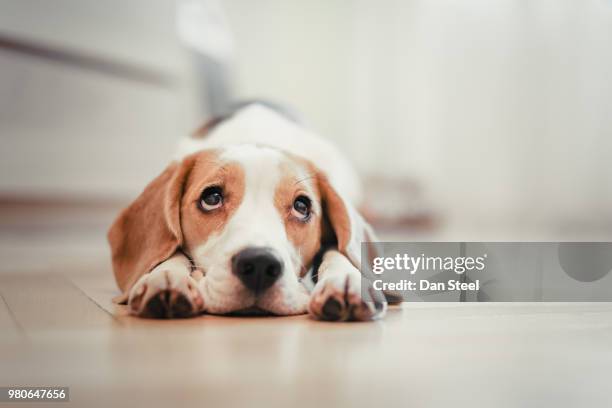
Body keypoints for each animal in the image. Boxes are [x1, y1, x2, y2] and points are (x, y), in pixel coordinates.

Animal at [109, 101, 388, 318]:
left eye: (302, 206)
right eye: (211, 197)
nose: (260, 264)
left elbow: (339, 250)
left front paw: (346, 280)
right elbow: (172, 250)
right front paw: (166, 277)